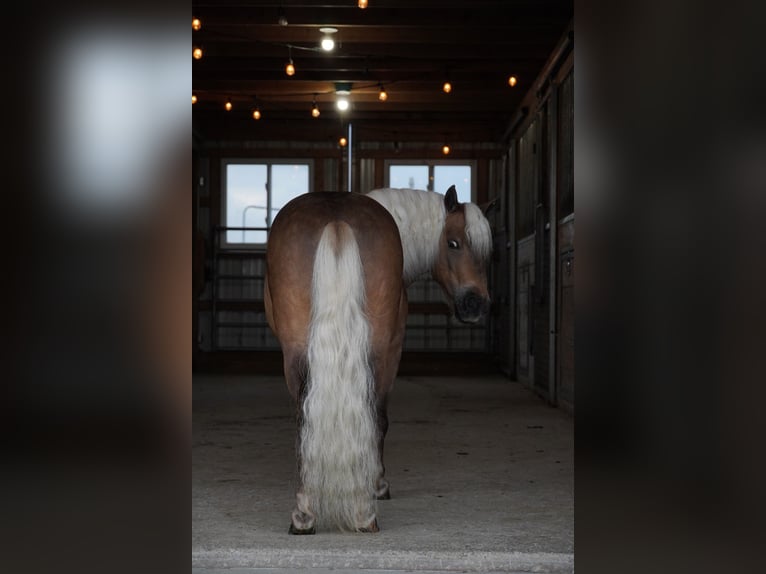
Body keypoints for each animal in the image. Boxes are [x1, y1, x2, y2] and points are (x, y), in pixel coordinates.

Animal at [264, 185, 493, 534]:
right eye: (454, 243)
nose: (475, 305)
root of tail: (335, 216)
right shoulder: (393, 348)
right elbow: (380, 420)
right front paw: (378, 484)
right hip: (377, 353)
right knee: (368, 416)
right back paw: (360, 512)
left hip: (296, 352)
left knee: (305, 420)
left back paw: (305, 513)